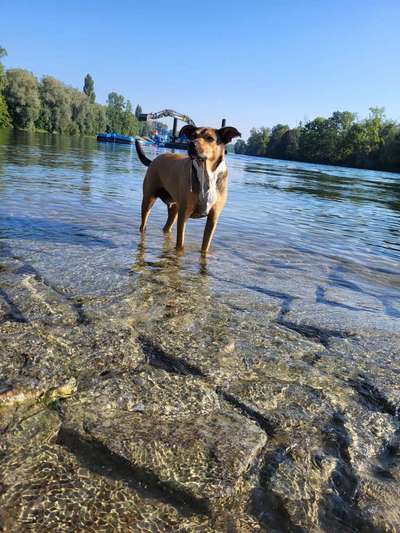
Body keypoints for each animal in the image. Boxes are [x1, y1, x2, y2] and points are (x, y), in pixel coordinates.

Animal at [134, 124, 241, 254]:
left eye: (210, 138)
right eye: (193, 136)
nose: (191, 144)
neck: (206, 174)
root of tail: (154, 160)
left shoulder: (213, 217)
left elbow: (205, 246)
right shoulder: (184, 214)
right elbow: (180, 244)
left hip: (174, 208)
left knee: (167, 226)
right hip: (148, 199)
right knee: (143, 224)